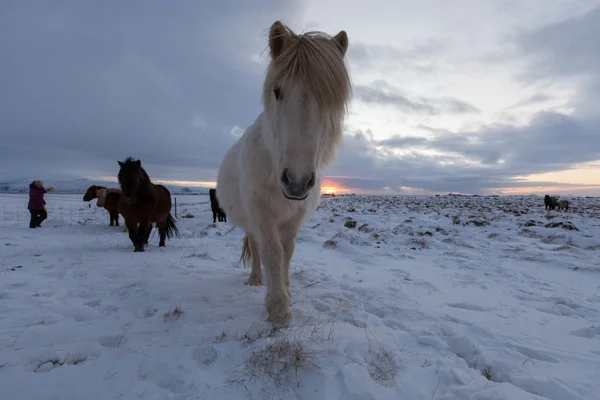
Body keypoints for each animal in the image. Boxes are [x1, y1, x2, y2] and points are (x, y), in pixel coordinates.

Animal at [216, 20, 352, 324]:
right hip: (250, 220)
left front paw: (287, 291)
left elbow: (287, 251)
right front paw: (277, 306)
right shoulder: (261, 212)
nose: (297, 181)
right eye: (277, 92)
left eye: (330, 99)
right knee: (255, 247)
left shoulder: (295, 216)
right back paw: (255, 279)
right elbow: (272, 251)